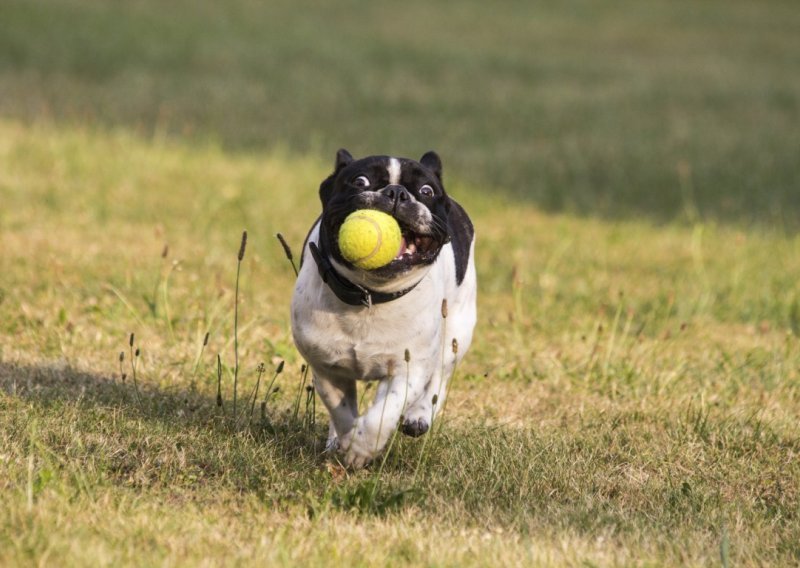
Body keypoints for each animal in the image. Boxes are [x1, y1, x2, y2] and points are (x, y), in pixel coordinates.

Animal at [292, 150, 476, 466]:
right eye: (360, 181)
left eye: (426, 191)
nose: (396, 192)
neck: (369, 295)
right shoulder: (327, 367)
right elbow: (341, 410)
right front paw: (346, 440)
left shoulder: (408, 369)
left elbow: (384, 414)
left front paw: (360, 449)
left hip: (457, 331)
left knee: (440, 375)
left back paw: (418, 416)